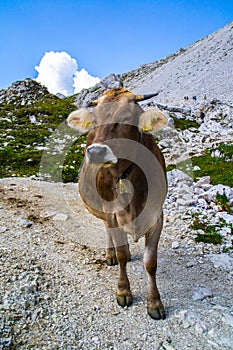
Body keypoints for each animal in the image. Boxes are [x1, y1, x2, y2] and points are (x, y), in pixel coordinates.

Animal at [67, 87, 167, 320]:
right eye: (94, 120)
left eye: (126, 117)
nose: (96, 152)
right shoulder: (112, 212)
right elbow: (121, 255)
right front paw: (123, 291)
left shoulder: (157, 216)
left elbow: (151, 262)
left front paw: (154, 303)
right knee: (109, 233)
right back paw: (110, 254)